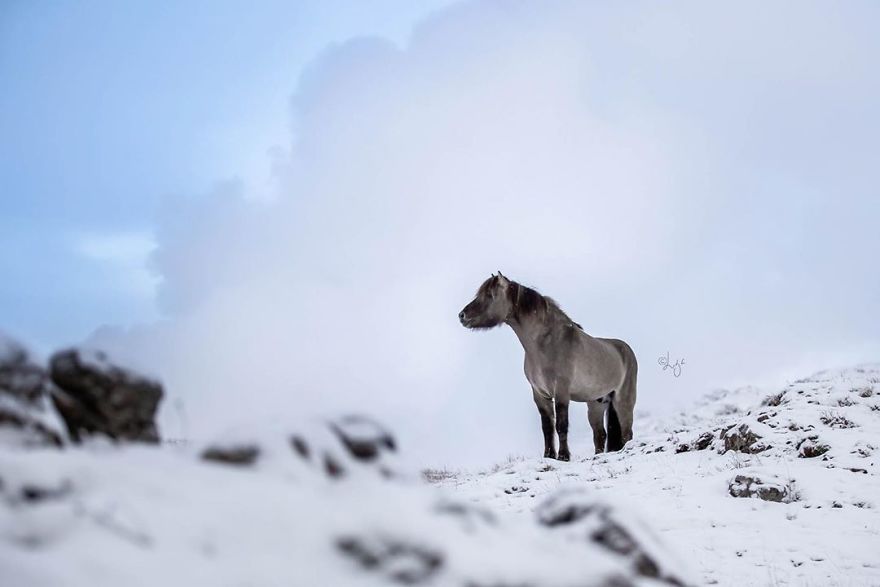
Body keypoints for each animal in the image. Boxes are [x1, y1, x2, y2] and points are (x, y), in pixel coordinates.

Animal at [458, 272, 638, 460]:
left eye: (489, 295)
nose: (462, 316)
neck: (545, 345)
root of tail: (625, 349)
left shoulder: (561, 392)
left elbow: (561, 425)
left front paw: (563, 456)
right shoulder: (540, 394)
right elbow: (547, 427)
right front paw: (549, 455)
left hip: (623, 400)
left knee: (627, 432)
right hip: (596, 403)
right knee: (600, 434)